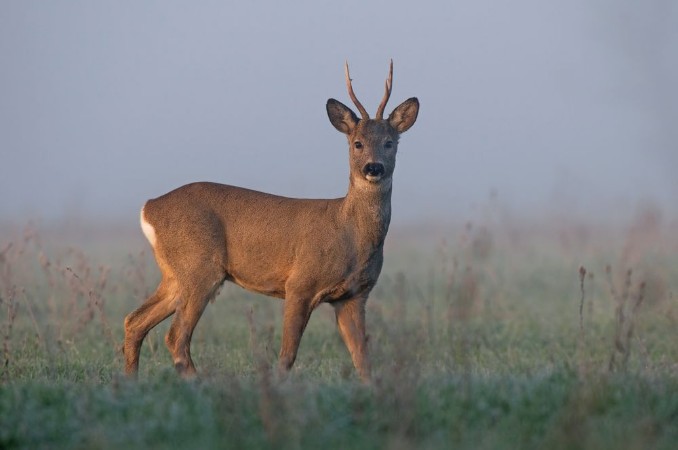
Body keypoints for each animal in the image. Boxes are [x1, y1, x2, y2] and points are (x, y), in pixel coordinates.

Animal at [123, 61, 419, 381]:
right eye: (357, 143)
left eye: (389, 142)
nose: (373, 168)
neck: (351, 233)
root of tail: (149, 208)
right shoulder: (300, 283)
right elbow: (287, 355)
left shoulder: (353, 296)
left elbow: (363, 361)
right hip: (199, 266)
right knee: (175, 336)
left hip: (176, 274)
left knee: (134, 321)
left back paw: (131, 381)